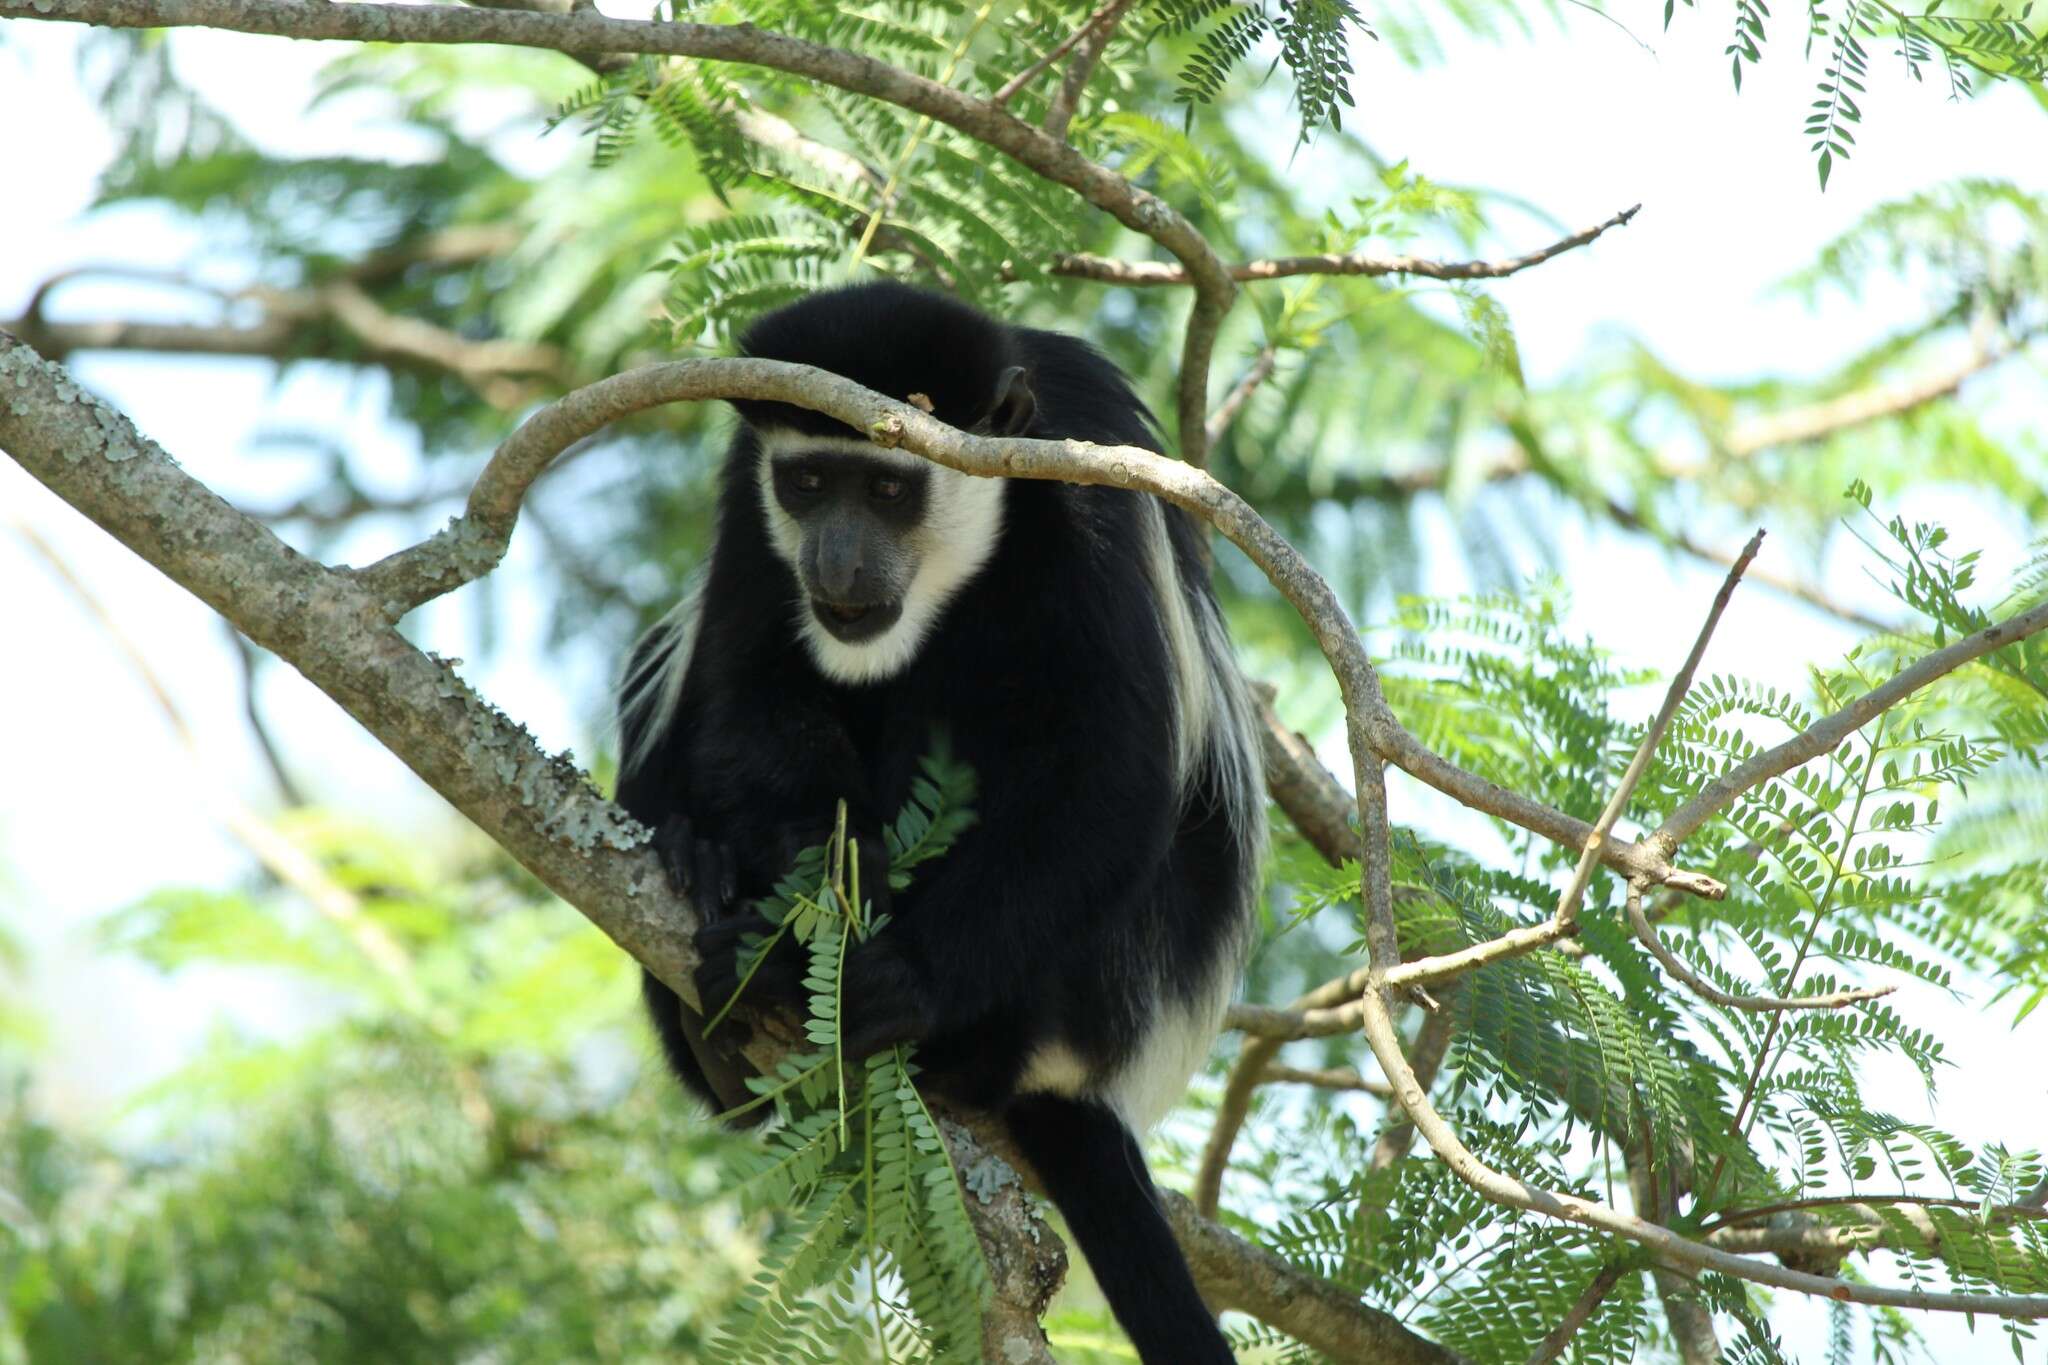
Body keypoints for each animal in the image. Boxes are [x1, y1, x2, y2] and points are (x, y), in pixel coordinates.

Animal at [618, 280, 1261, 1365]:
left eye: (888, 492)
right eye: (808, 482)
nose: (836, 563)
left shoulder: (1085, 496)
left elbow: (1108, 769)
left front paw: (893, 981)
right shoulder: (751, 489)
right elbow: (748, 681)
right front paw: (788, 898)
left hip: (1101, 985)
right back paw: (710, 951)